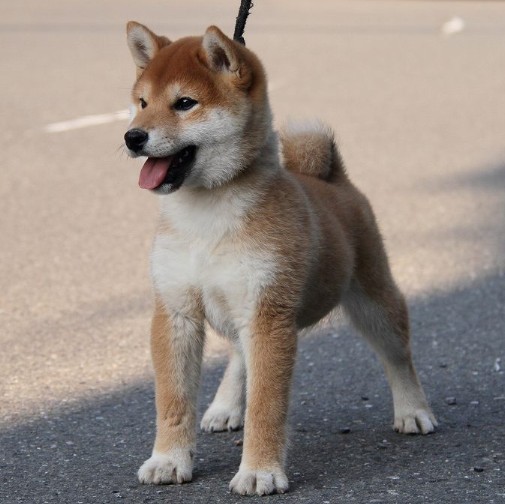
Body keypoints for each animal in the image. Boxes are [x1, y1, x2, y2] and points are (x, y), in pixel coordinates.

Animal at [124, 22, 436, 496]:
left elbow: (265, 406)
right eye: (141, 103)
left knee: (398, 354)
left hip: (373, 300)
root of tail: (332, 179)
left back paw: (413, 410)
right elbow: (173, 401)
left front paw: (259, 471)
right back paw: (224, 406)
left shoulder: (269, 316)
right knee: (238, 355)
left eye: (184, 103)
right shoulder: (175, 311)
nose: (132, 137)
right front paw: (168, 460)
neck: (206, 217)